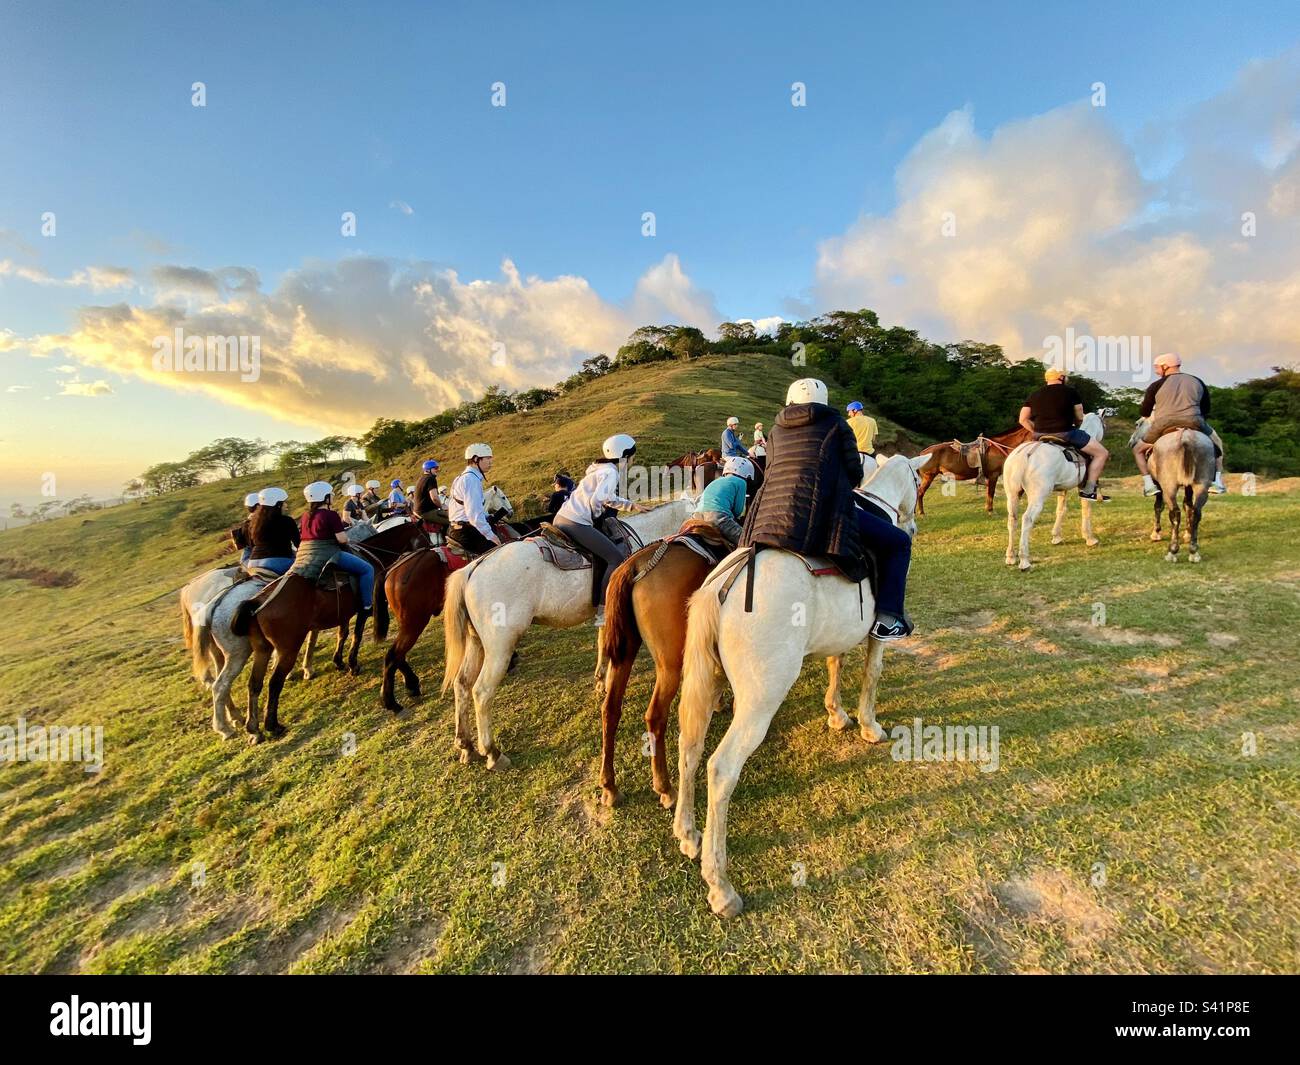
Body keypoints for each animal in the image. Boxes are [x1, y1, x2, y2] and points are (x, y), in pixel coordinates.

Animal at [374, 486, 514, 712]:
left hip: (407, 621)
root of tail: (392, 569)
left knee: (398, 655)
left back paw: (411, 685)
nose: (510, 512)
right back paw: (391, 701)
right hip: (415, 621)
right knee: (393, 655)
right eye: (502, 496)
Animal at [441, 496, 696, 769]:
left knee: (462, 684)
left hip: (476, 643)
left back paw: (465, 744)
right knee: (481, 692)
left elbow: (602, 642)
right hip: (500, 648)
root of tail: (472, 569)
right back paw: (492, 752)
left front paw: (600, 680)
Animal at [670, 455, 925, 920]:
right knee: (721, 769)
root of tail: (724, 585)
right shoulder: (877, 634)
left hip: (704, 683)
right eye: (917, 480)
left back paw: (687, 832)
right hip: (759, 703)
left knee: (690, 747)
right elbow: (872, 672)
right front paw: (868, 725)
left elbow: (835, 664)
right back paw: (721, 886)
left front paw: (836, 714)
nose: (913, 527)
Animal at [998, 410, 1102, 574]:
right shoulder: (1084, 487)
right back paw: (1024, 560)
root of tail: (1025, 455)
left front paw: (1056, 536)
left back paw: (1011, 557)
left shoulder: (1062, 489)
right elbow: (1086, 509)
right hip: (1037, 497)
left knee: (1012, 520)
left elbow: (1061, 510)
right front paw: (1089, 538)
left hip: (1012, 495)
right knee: (1027, 519)